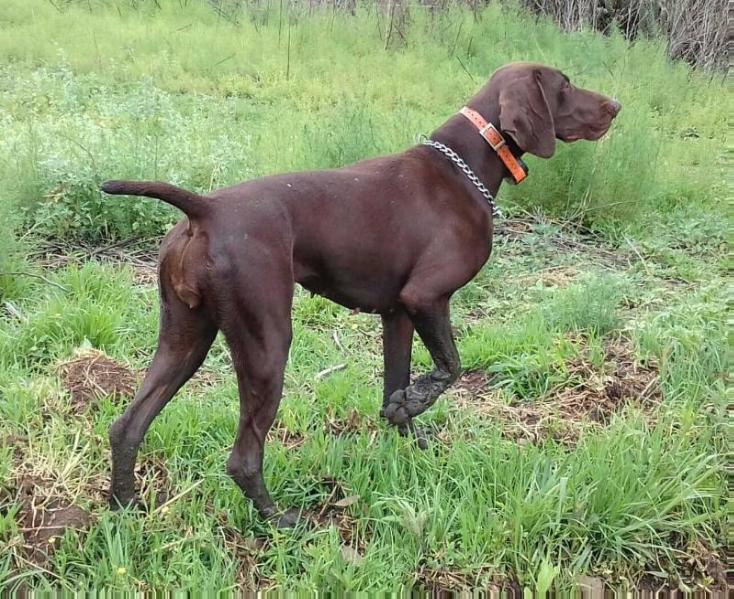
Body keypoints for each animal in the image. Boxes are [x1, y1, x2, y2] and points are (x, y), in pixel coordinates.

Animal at [102, 63, 620, 528]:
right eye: (565, 85)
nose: (615, 106)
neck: (466, 165)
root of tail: (205, 209)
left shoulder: (399, 314)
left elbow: (397, 383)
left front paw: (409, 430)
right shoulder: (427, 296)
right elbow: (451, 366)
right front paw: (414, 404)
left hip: (185, 338)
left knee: (127, 426)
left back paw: (125, 508)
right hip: (267, 343)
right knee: (243, 458)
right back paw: (280, 520)